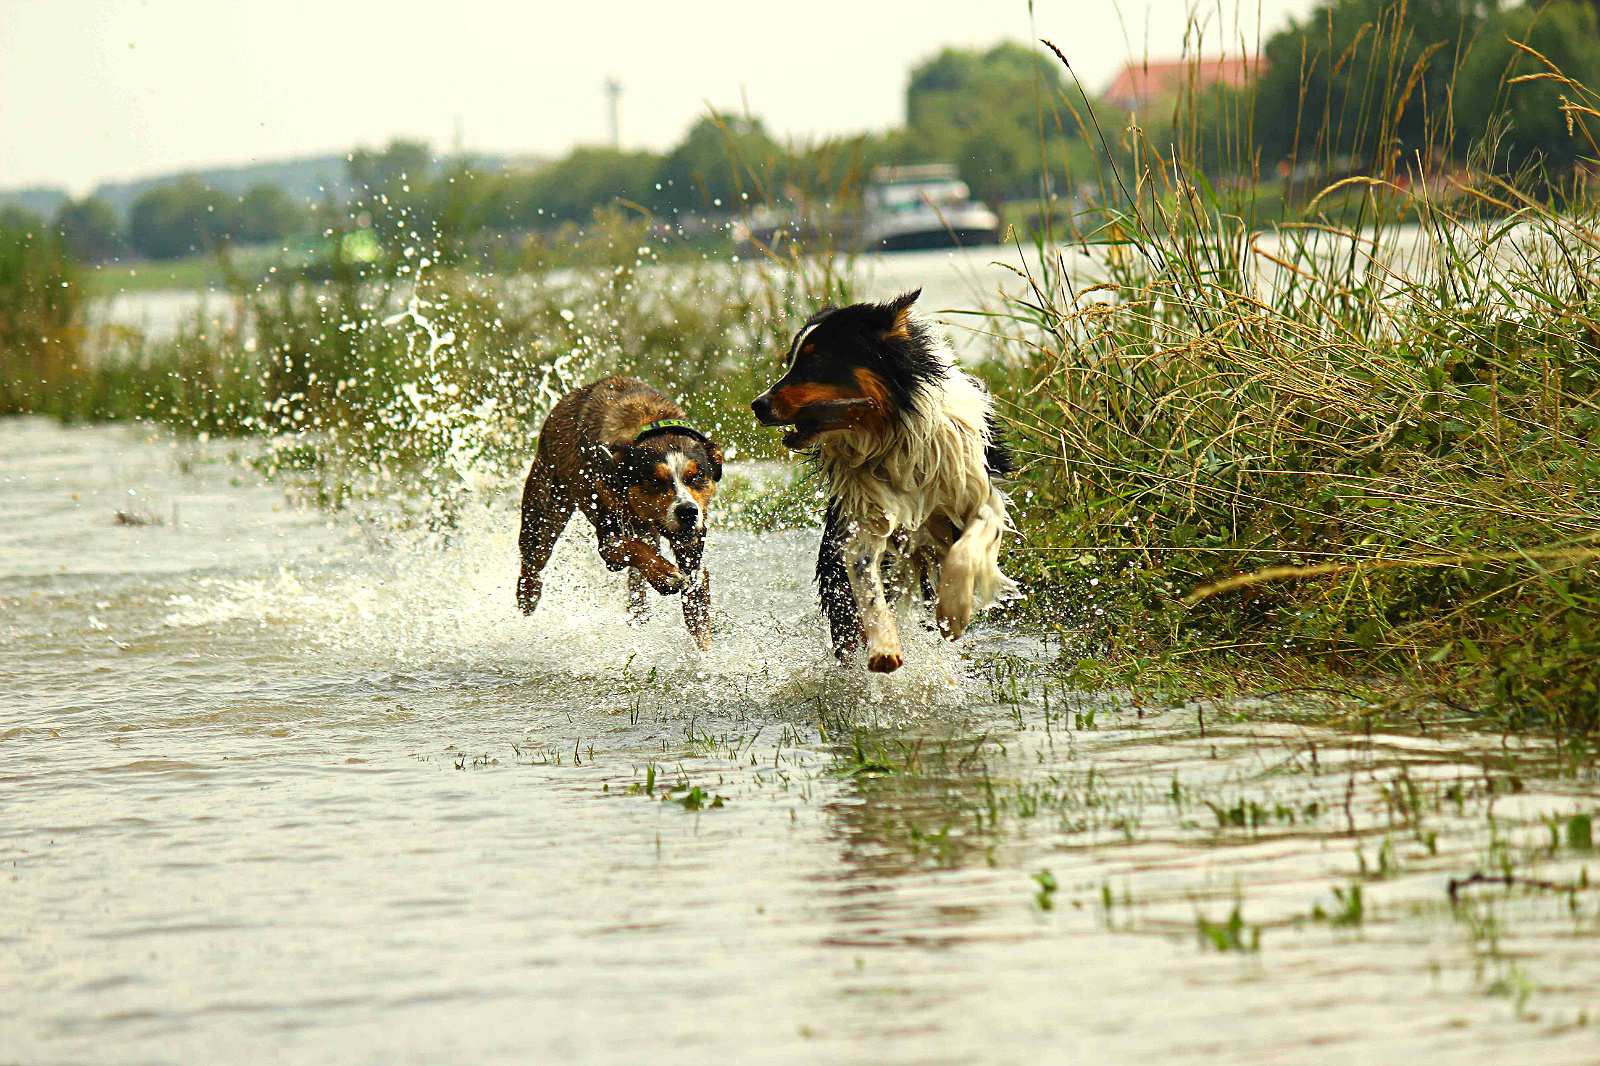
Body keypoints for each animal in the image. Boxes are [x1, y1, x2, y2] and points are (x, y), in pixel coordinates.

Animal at [515, 372, 723, 646]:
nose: (688, 511)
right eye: (655, 480)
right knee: (532, 563)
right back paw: (527, 602)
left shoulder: (692, 553)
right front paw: (664, 574)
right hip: (543, 510)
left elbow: (696, 607)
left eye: (697, 476)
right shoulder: (609, 539)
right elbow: (628, 548)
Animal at [748, 288, 1011, 672]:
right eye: (790, 360)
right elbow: (866, 583)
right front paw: (884, 647)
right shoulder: (862, 519)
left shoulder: (980, 491)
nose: (758, 405)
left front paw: (953, 612)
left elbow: (969, 546)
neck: (892, 438)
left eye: (816, 360)